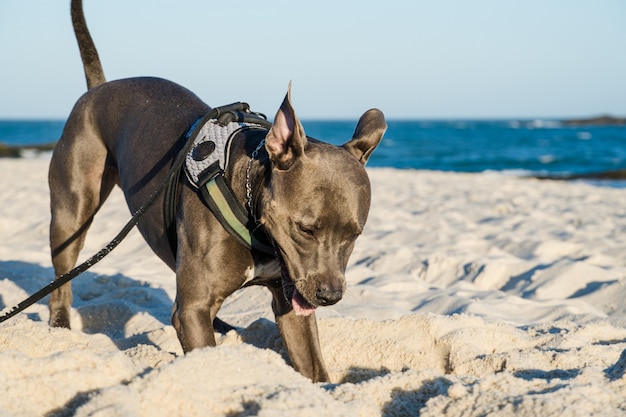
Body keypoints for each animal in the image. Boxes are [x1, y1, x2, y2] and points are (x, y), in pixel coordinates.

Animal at [51, 0, 386, 382]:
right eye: (305, 229)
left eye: (355, 235)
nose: (330, 296)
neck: (248, 202)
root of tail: (99, 88)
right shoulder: (193, 309)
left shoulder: (289, 302)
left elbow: (314, 369)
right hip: (72, 211)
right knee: (61, 279)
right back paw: (59, 327)